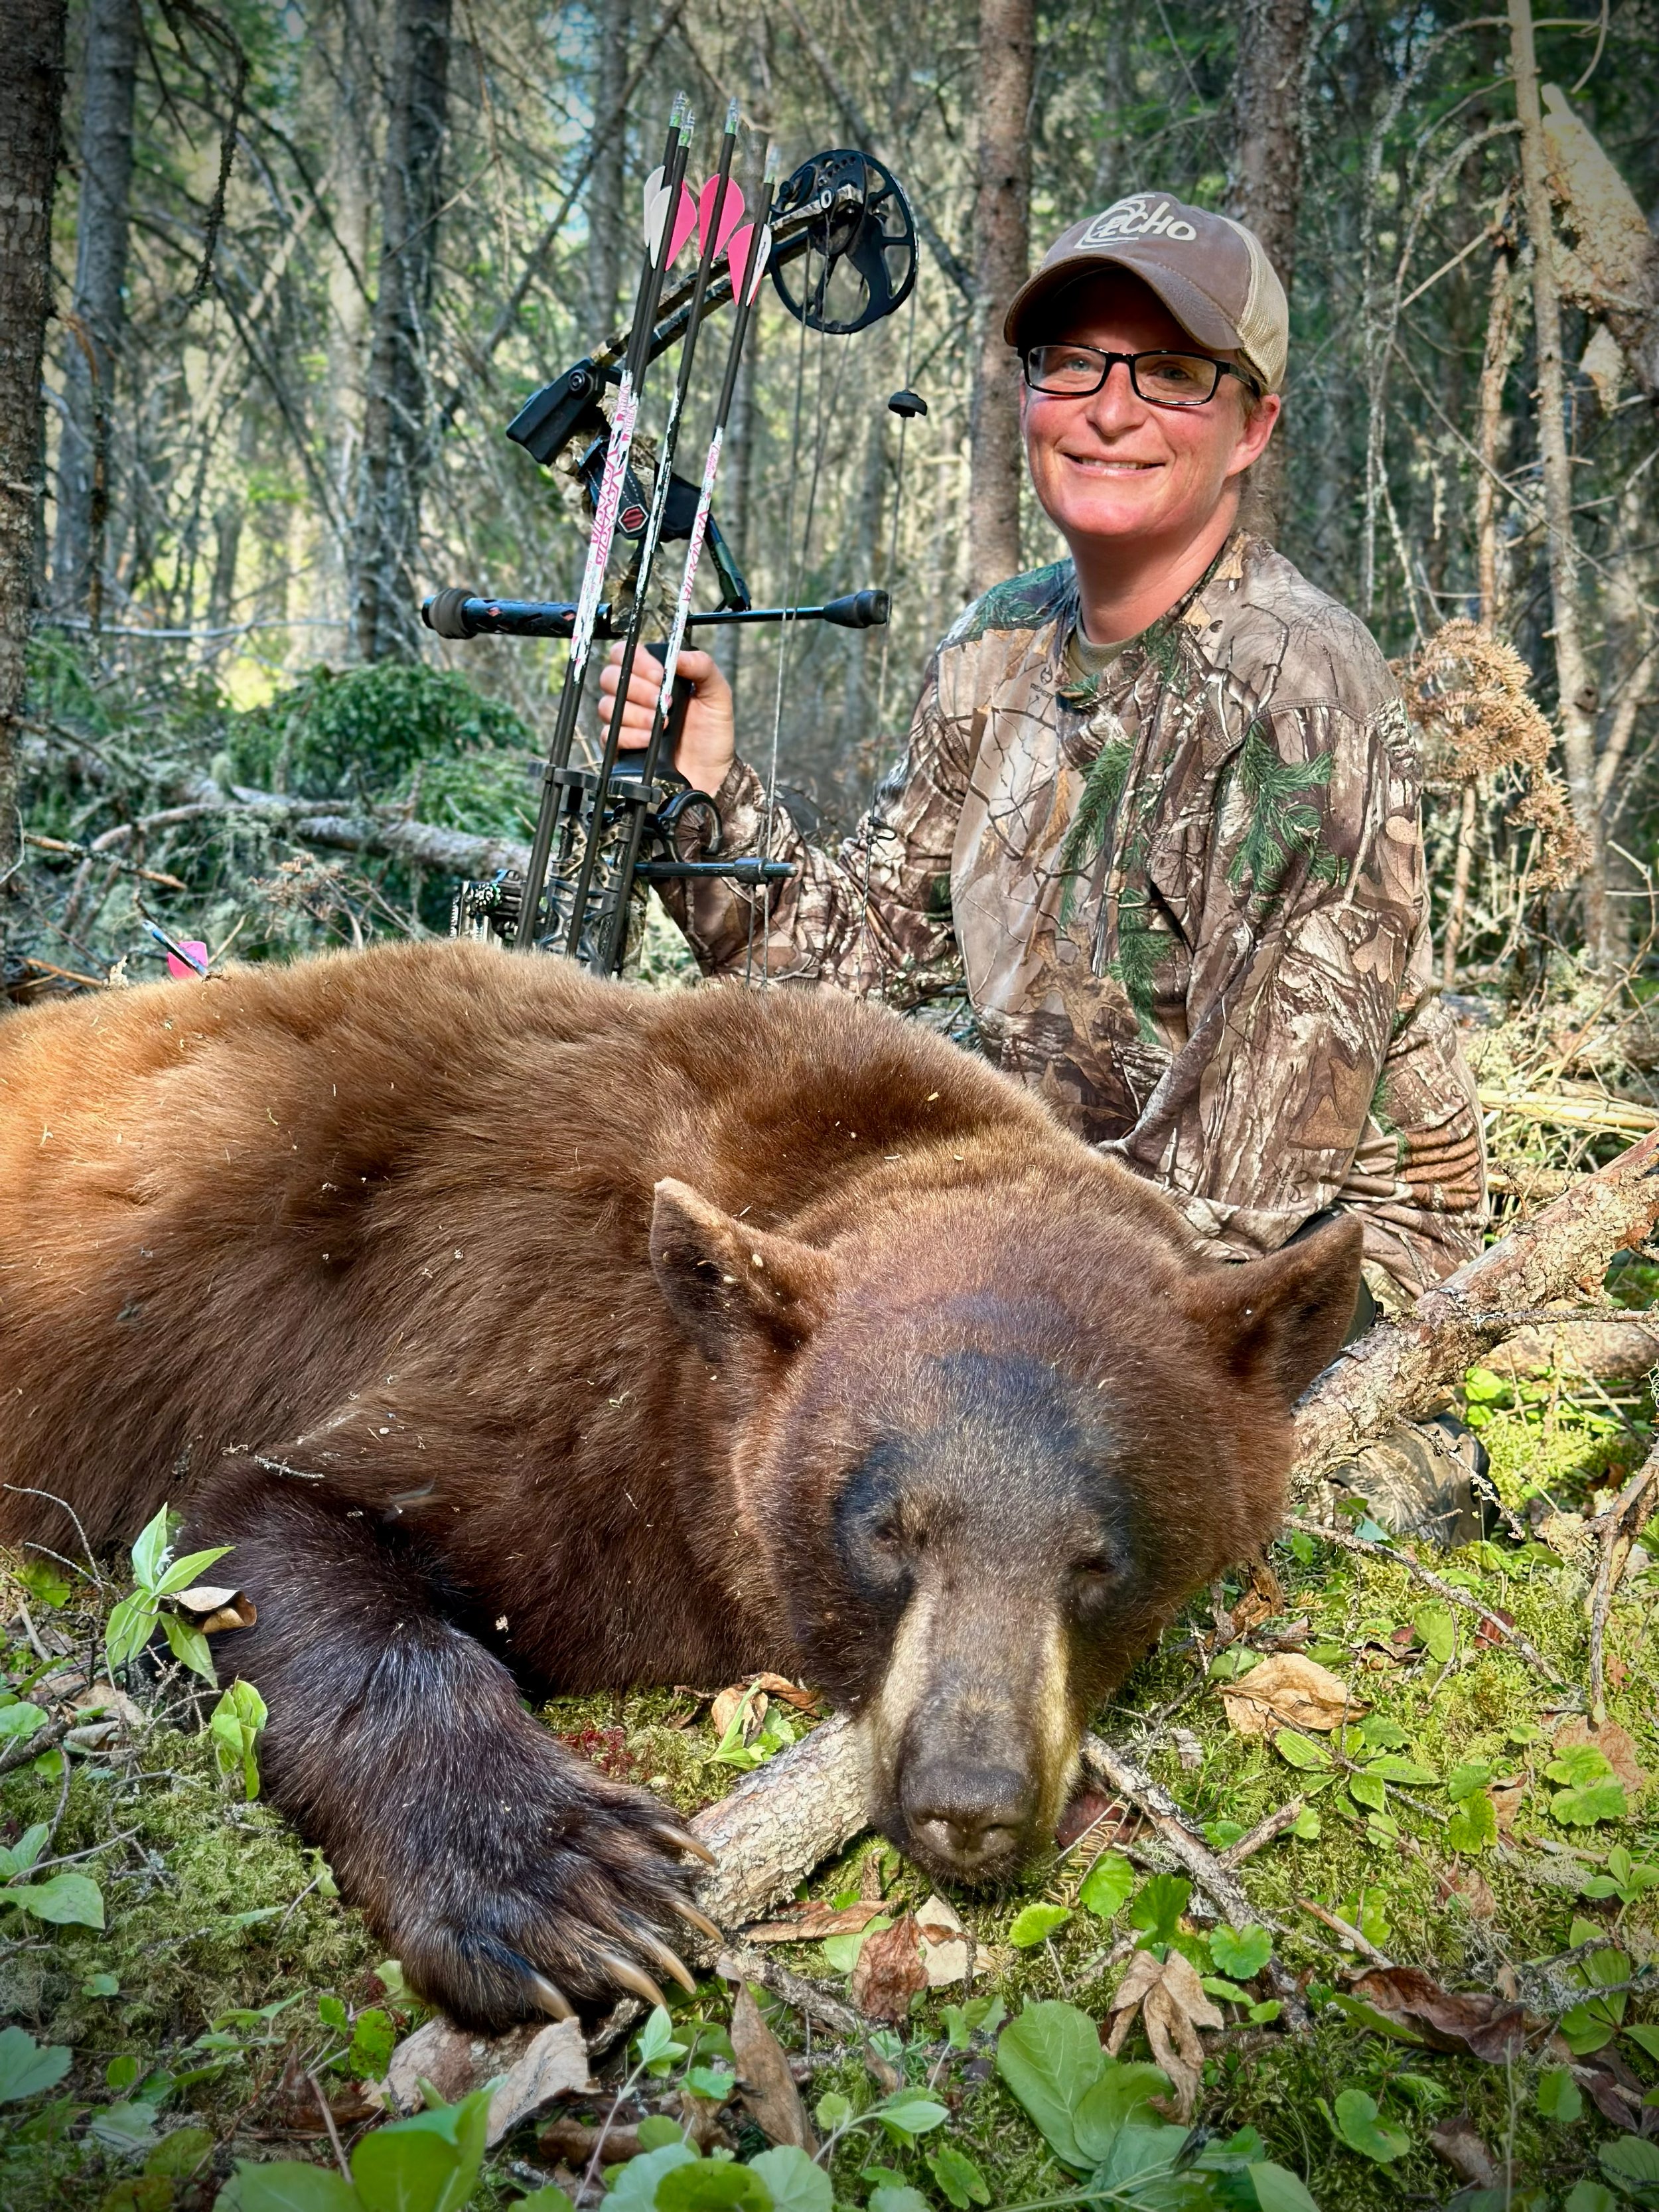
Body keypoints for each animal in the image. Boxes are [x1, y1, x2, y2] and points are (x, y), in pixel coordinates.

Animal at [0, 937, 1360, 2029]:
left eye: (1099, 1557)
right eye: (889, 1531)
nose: (969, 1802)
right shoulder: (549, 1369)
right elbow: (257, 1519)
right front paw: (566, 1886)